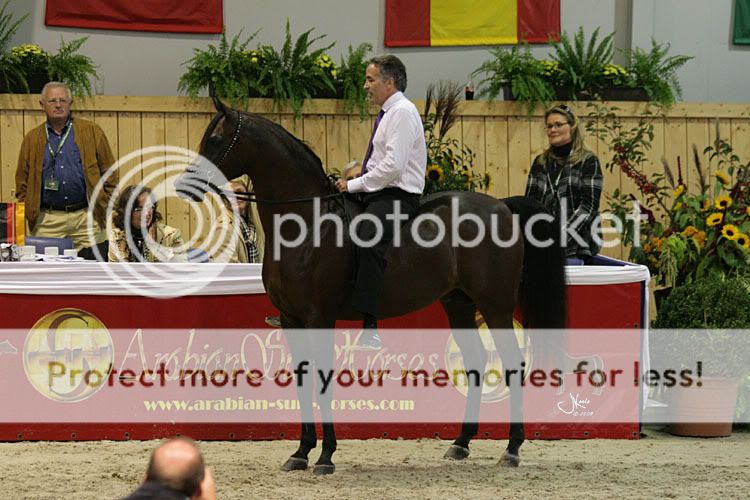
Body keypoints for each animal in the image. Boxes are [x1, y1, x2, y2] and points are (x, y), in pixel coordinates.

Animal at [175, 97, 564, 476]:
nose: (184, 186)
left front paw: (326, 456)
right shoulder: (291, 319)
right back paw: (461, 443)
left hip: (494, 304)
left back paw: (512, 448)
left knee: (512, 362)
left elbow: (322, 379)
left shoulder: (319, 317)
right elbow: (302, 379)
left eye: (216, 139)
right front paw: (301, 452)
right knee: (476, 362)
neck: (308, 224)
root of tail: (502, 207)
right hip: (459, 303)